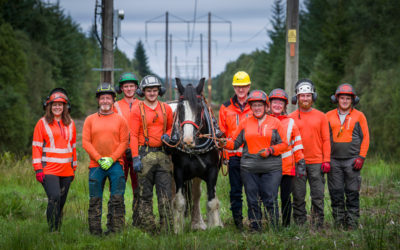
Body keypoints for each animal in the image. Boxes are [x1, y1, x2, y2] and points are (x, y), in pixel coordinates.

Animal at [168, 77, 225, 233]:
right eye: (180, 108)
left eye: (199, 107)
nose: (187, 140)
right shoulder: (178, 170)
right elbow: (179, 201)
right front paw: (177, 229)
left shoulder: (212, 170)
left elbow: (211, 200)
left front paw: (215, 226)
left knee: (197, 193)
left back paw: (197, 223)